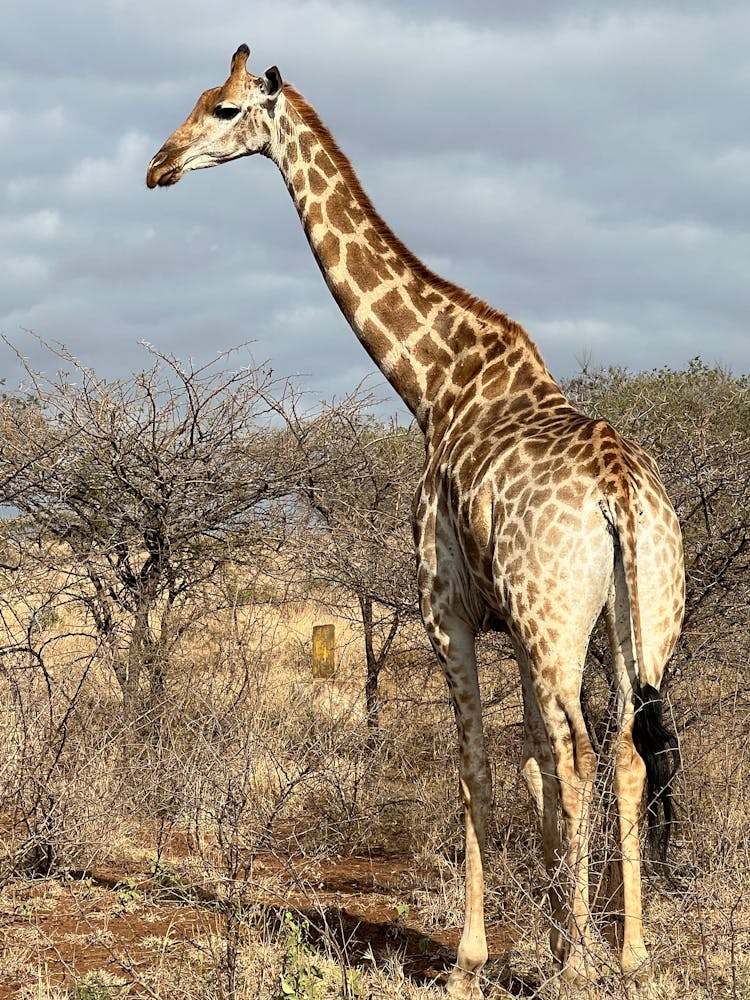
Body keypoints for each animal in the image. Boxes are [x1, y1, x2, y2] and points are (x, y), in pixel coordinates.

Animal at [147, 43, 688, 996]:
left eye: (223, 108)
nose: (158, 165)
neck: (434, 385)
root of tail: (621, 494)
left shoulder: (451, 613)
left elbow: (477, 766)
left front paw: (483, 956)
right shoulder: (514, 625)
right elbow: (530, 759)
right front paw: (555, 931)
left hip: (561, 622)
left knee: (586, 756)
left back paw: (591, 960)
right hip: (640, 619)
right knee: (620, 754)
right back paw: (630, 953)